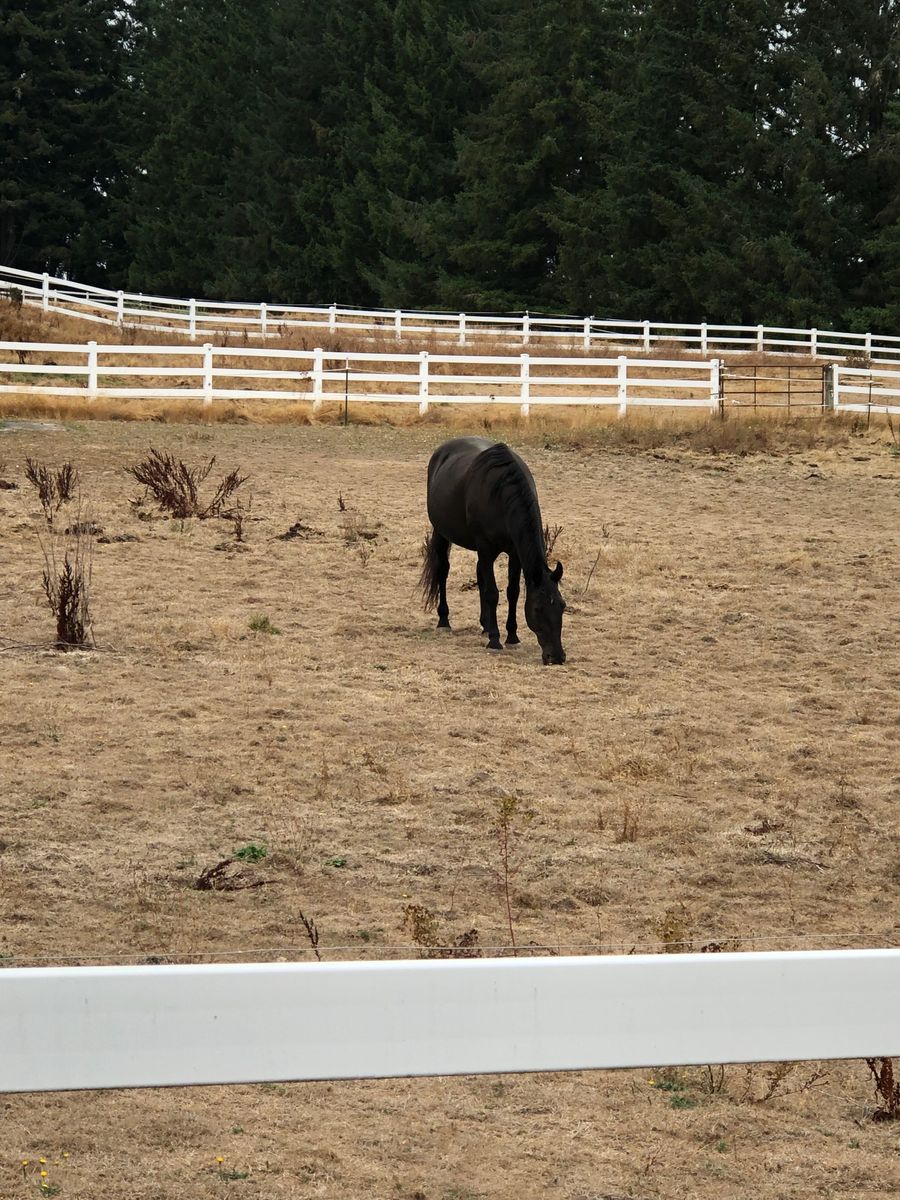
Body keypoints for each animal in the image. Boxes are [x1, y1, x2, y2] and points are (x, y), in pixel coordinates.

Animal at [419, 436, 566, 664]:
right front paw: (495, 640)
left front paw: (512, 636)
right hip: (441, 532)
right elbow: (492, 593)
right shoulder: (486, 549)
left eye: (562, 605)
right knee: (443, 570)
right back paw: (444, 620)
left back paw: (485, 625)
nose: (557, 656)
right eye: (537, 608)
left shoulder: (514, 553)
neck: (501, 495)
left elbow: (512, 592)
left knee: (479, 575)